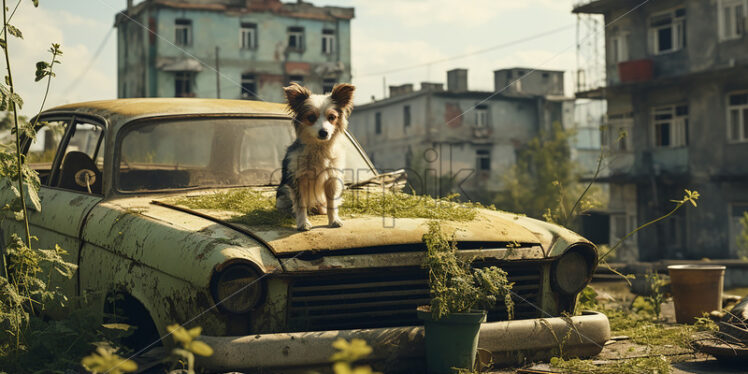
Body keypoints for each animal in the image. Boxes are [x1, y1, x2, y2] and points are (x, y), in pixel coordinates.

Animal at [276, 82, 356, 231]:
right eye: (311, 118)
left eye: (332, 117)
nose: (324, 132)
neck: (319, 149)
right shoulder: (298, 179)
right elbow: (300, 204)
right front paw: (303, 223)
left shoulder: (331, 179)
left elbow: (332, 204)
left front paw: (334, 220)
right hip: (284, 191)